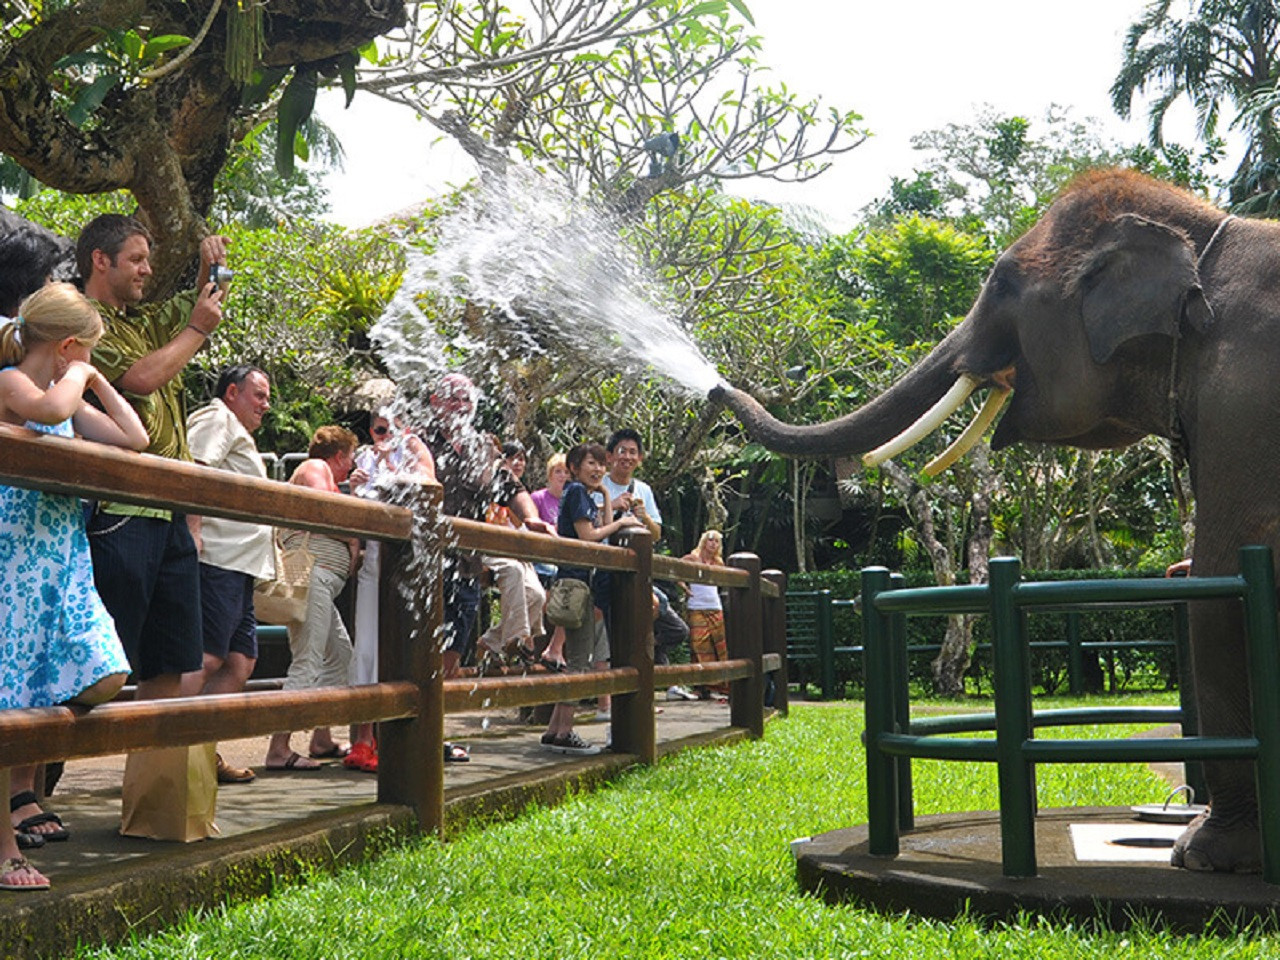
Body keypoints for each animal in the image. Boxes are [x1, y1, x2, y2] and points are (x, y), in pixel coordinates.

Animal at [711, 168, 1280, 875]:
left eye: (1003, 283)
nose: (715, 387)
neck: (1203, 233)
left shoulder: (1241, 405)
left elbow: (1218, 582)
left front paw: (1201, 856)